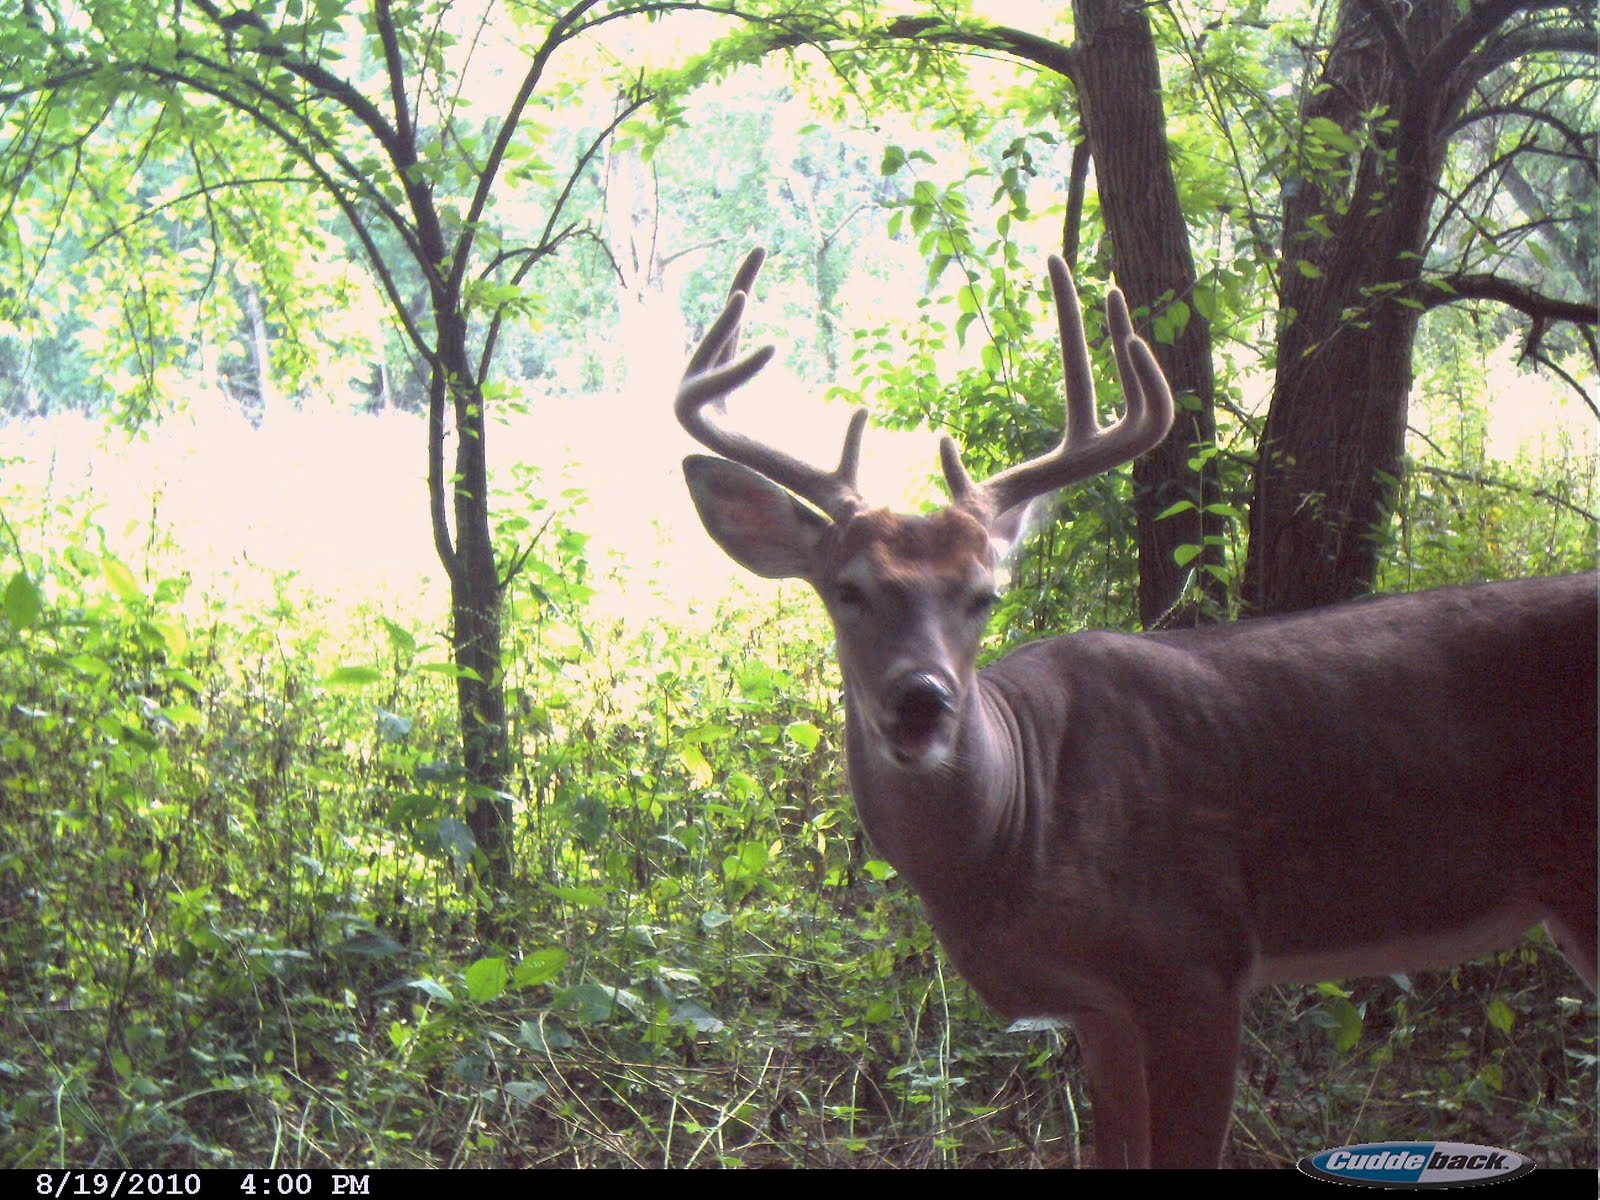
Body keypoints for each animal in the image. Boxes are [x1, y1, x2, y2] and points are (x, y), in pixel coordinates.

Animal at [672, 247, 1597, 1168]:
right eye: (848, 590)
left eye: (984, 593)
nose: (921, 702)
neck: (1021, 825)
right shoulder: (1099, 1005)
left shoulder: (1196, 960)